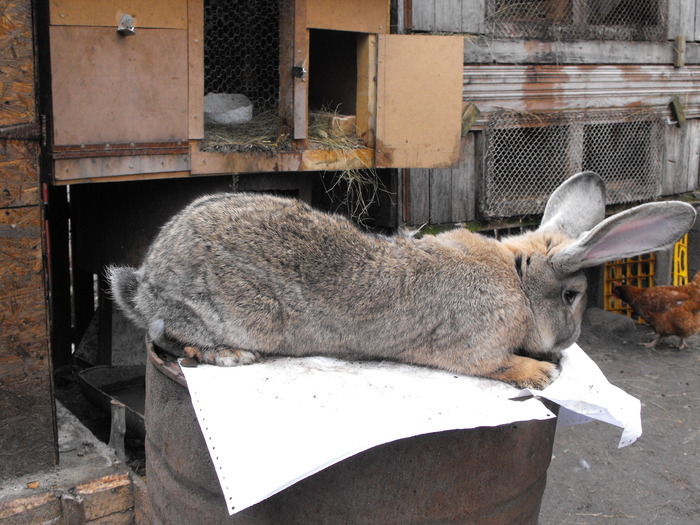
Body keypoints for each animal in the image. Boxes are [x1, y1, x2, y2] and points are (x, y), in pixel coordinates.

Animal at [108, 173, 696, 388]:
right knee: (172, 337)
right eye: (572, 296)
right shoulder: (475, 351)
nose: (569, 342)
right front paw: (539, 373)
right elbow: (497, 365)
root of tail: (145, 283)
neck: (518, 281)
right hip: (231, 314)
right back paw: (230, 357)